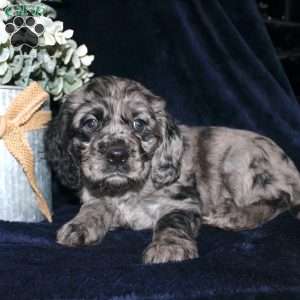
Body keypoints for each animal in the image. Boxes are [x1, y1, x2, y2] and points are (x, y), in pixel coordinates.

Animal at [44, 76, 300, 264]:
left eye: (139, 124)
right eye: (90, 123)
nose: (117, 155)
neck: (128, 191)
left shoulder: (182, 202)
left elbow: (171, 222)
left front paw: (168, 247)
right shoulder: (96, 197)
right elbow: (92, 208)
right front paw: (79, 225)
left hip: (238, 161)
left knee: (278, 200)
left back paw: (231, 216)